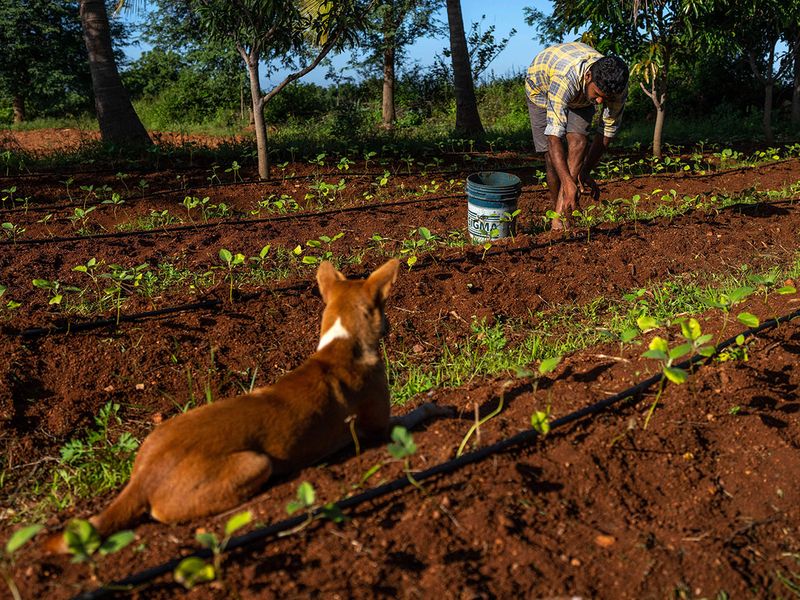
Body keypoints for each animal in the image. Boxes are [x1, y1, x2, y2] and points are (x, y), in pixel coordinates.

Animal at [45, 260, 444, 552]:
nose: (390, 327)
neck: (341, 342)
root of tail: (142, 478)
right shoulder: (382, 427)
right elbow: (417, 412)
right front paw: (437, 407)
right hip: (255, 464)